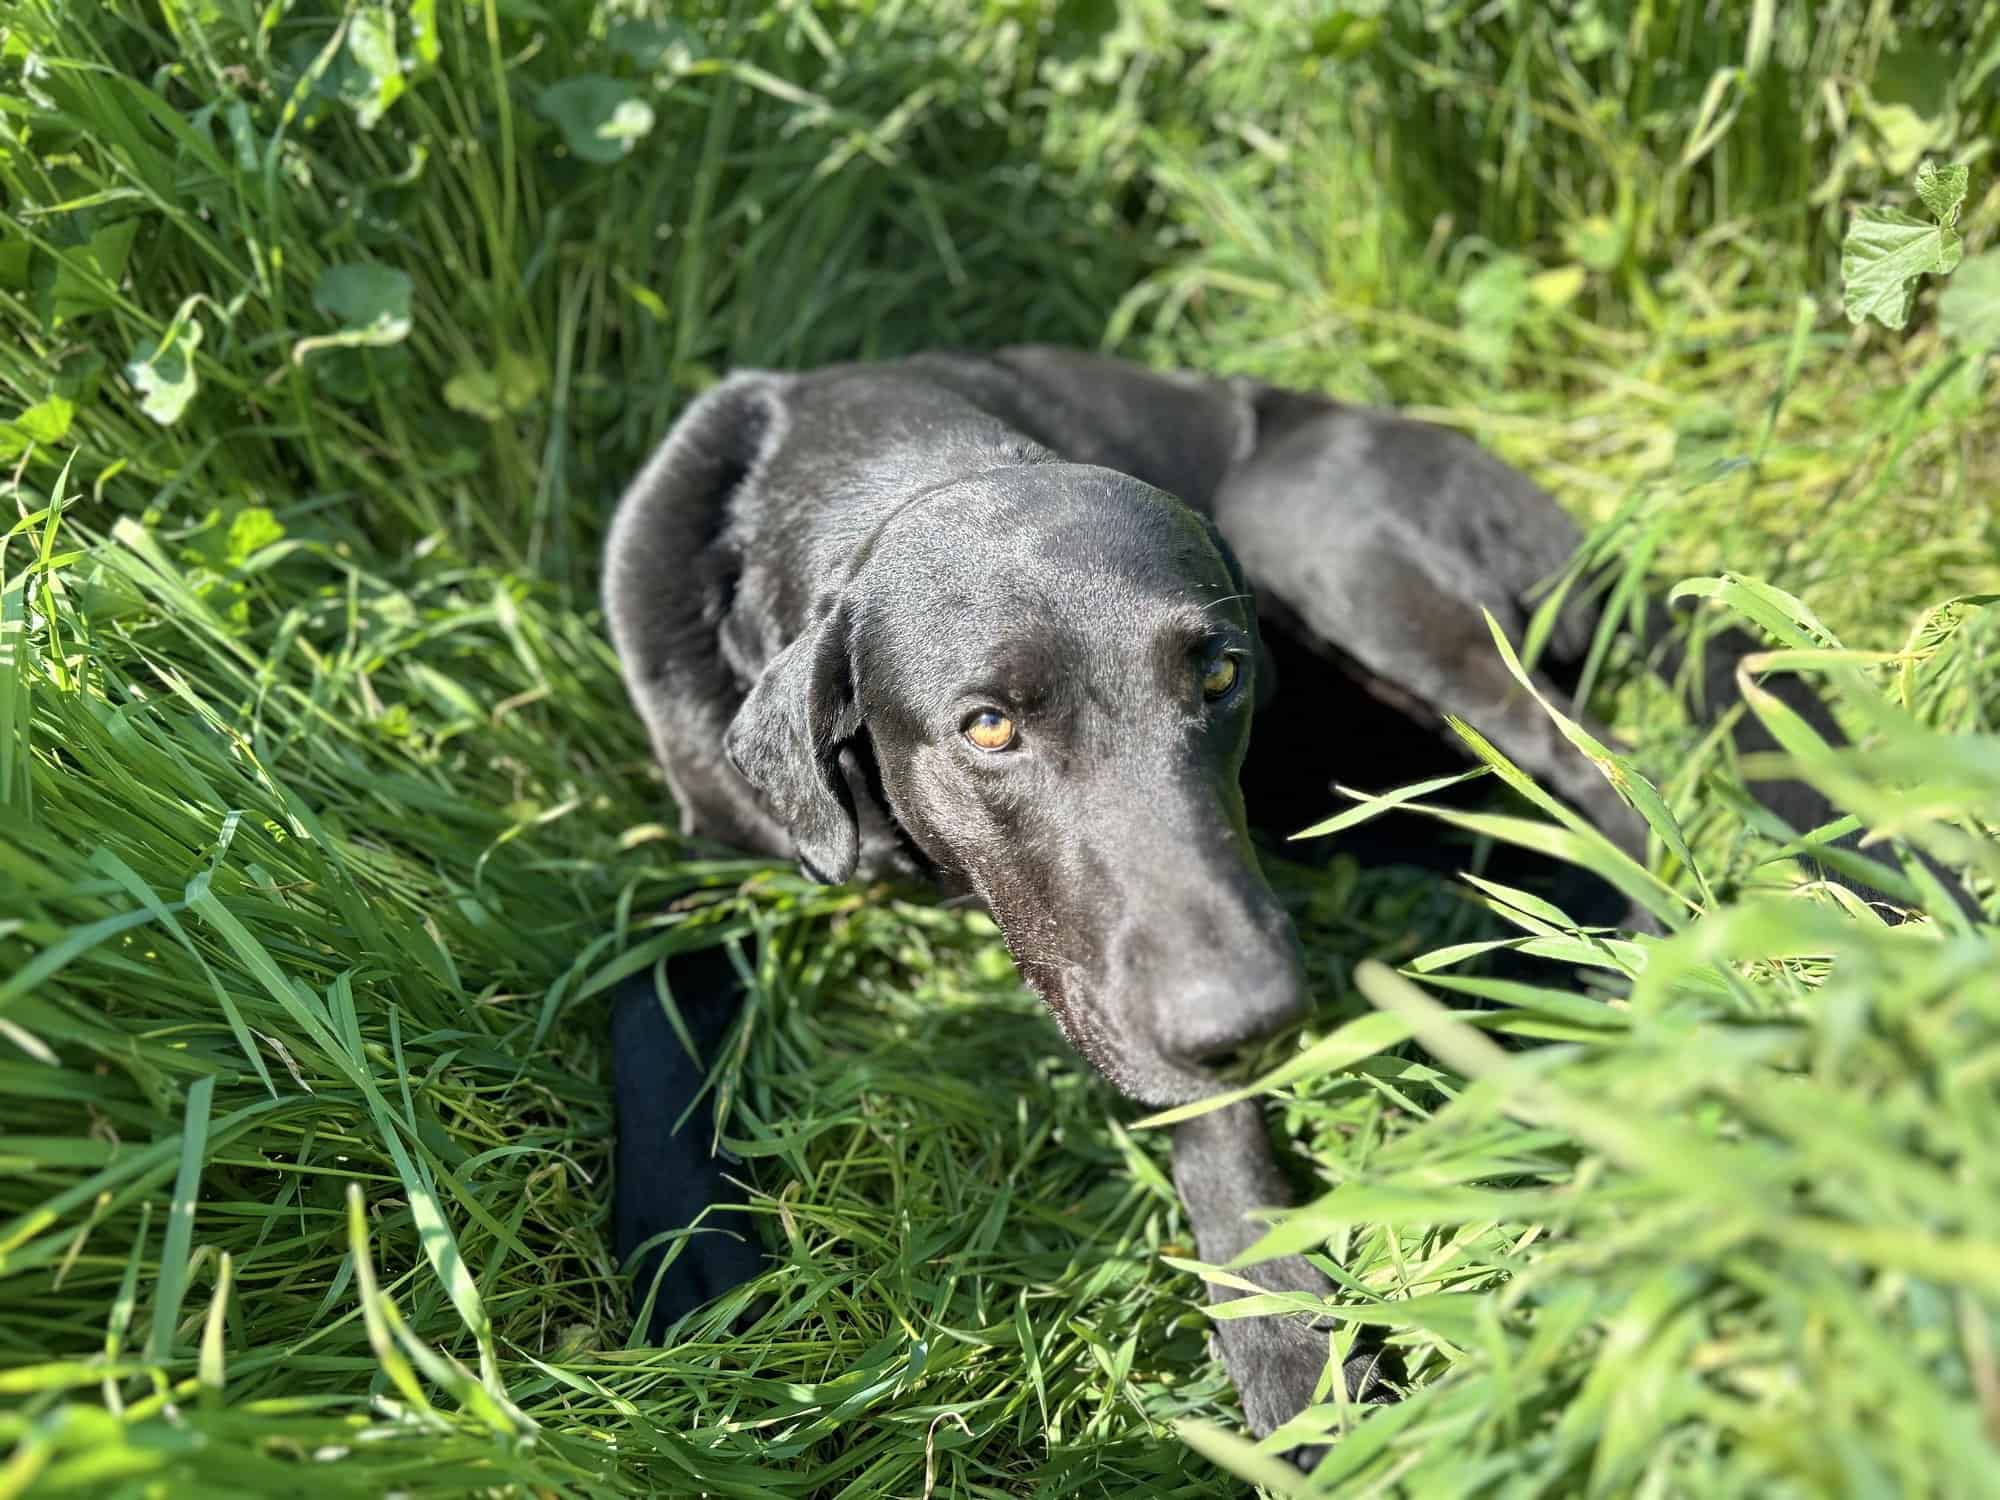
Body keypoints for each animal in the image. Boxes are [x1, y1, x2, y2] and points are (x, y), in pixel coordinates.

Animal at [596, 346, 1904, 1448]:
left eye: (1215, 675)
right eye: (988, 725)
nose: (1257, 1020)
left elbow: (1213, 1130)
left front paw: (1288, 1348)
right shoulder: (712, 857)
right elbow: (641, 993)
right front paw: (685, 1259)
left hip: (1319, 540)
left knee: (1597, 785)